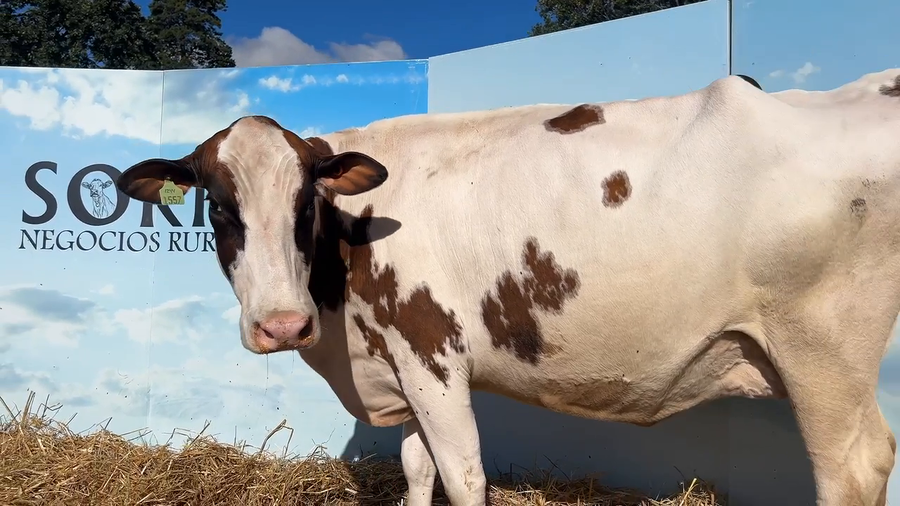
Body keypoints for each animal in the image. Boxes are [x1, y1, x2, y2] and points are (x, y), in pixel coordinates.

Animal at [115, 69, 900, 506]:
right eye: (218, 204)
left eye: (307, 198)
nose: (282, 324)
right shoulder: (400, 365)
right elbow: (418, 472)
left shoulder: (432, 353)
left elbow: (463, 476)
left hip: (822, 351)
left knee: (853, 469)